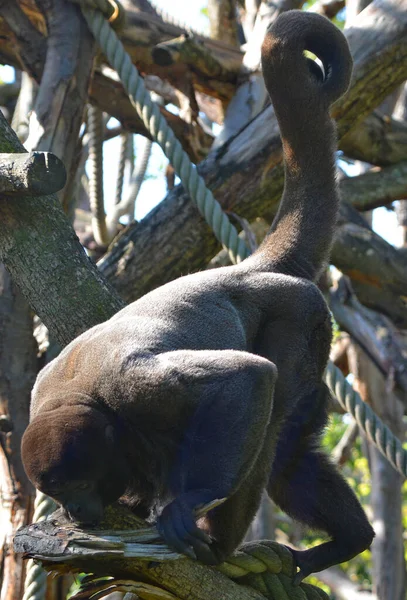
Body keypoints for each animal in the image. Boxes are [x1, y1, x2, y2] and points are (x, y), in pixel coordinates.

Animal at [20, 8, 374, 580]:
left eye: (77, 486)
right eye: (58, 493)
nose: (76, 509)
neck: (81, 398)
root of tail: (250, 269)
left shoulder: (136, 389)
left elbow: (246, 378)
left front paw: (186, 505)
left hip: (301, 318)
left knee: (273, 418)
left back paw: (221, 543)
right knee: (290, 457)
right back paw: (350, 539)